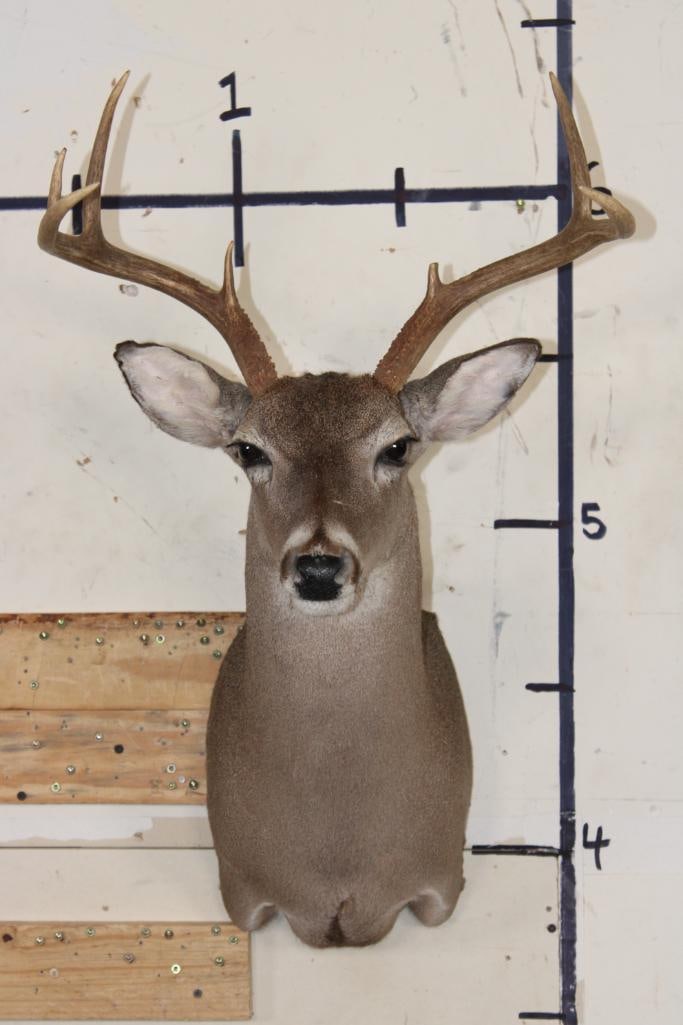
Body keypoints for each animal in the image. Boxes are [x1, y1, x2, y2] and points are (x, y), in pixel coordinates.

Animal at [38, 71, 634, 948]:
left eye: (397, 446)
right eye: (248, 449)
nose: (318, 566)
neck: (337, 860)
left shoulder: (440, 880)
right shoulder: (241, 888)